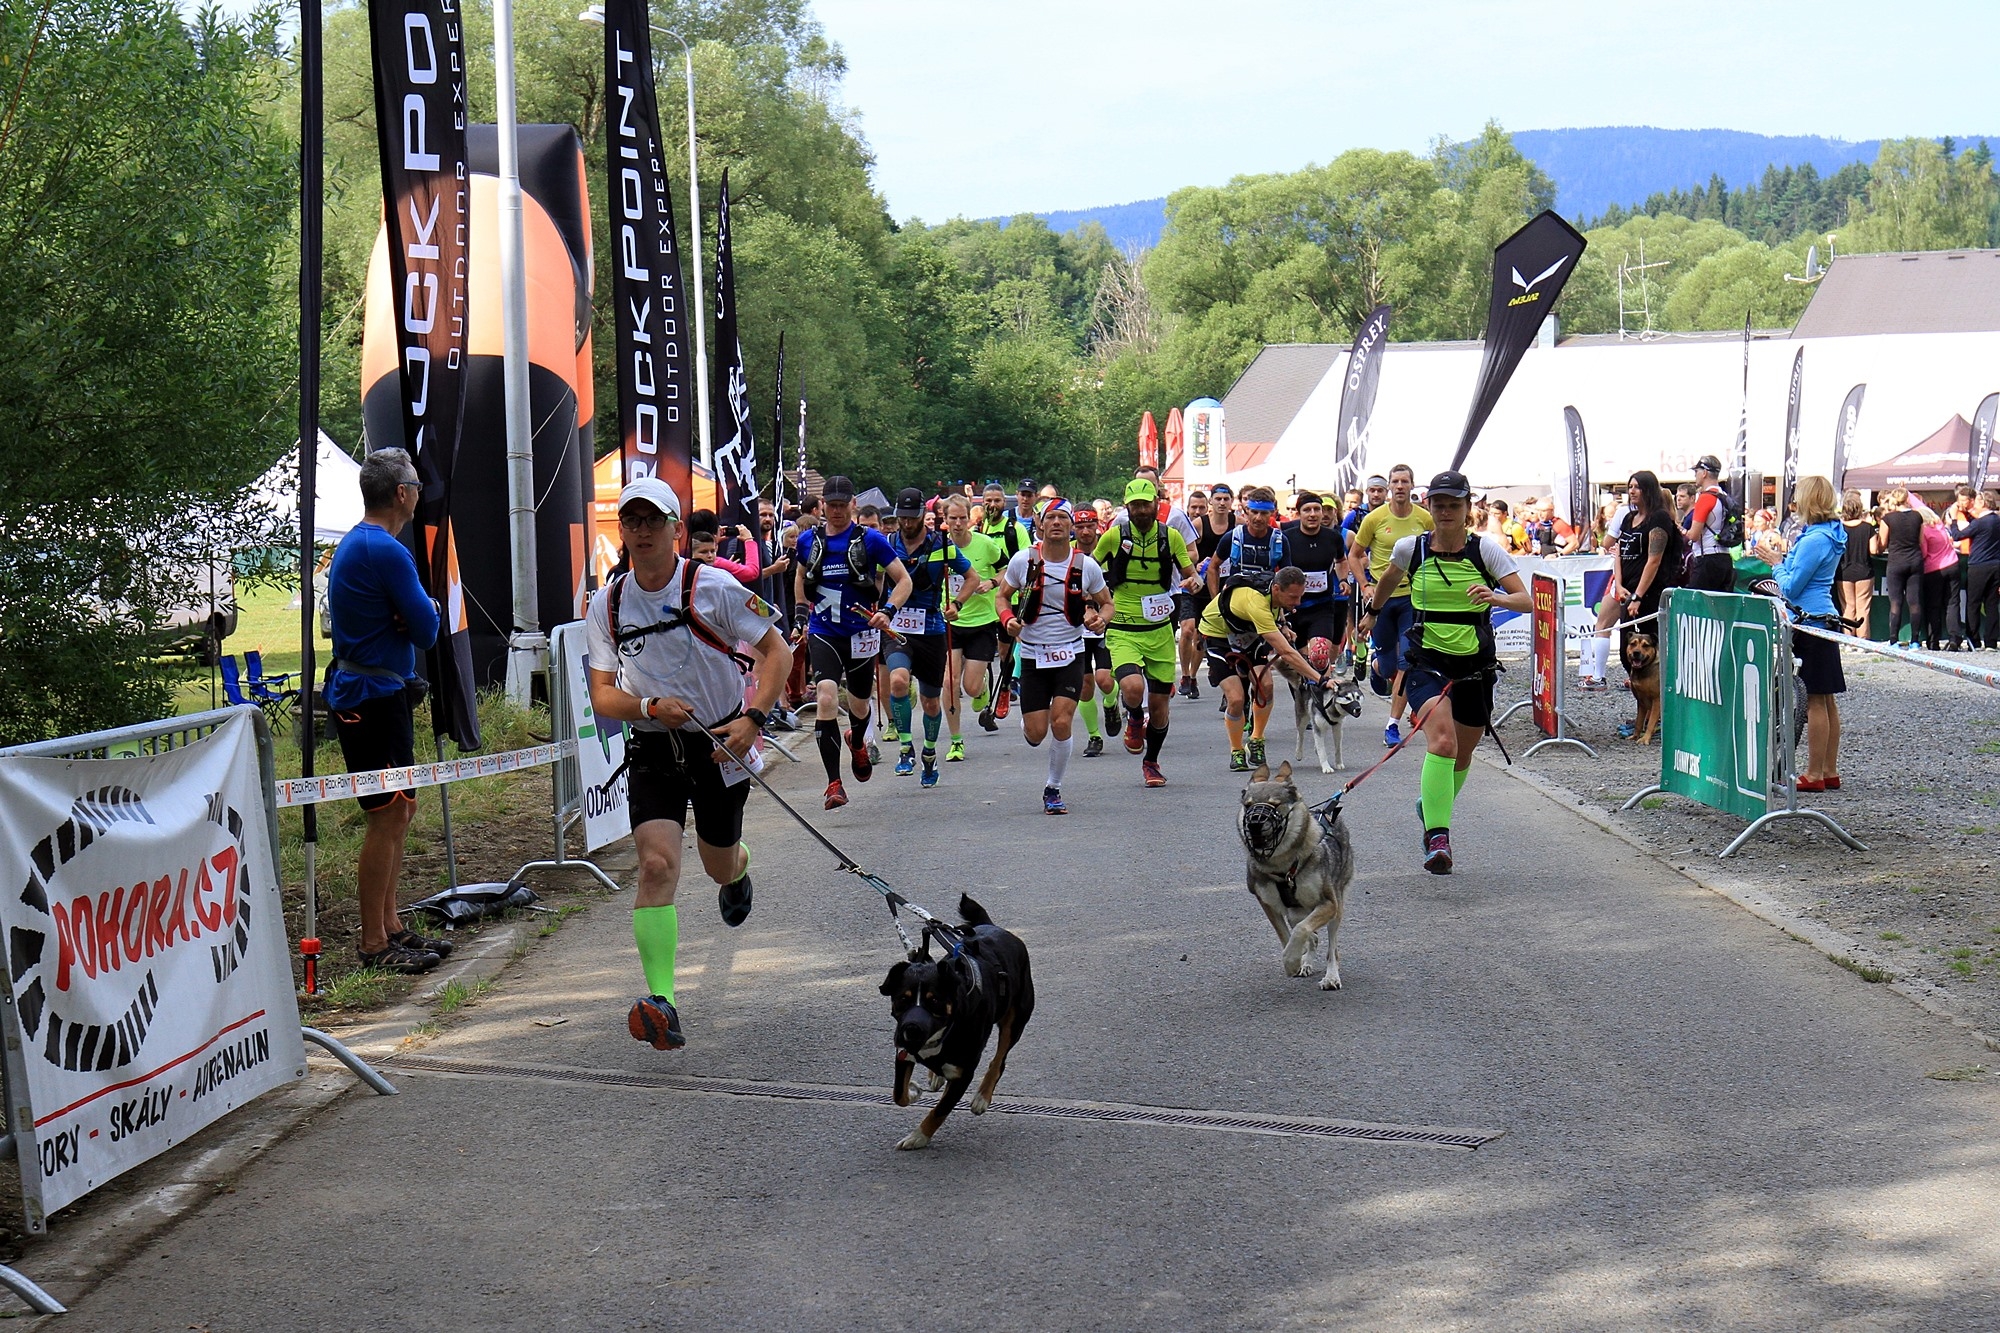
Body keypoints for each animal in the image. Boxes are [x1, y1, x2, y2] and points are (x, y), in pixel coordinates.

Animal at [880, 896, 1040, 1144]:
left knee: (999, 1060)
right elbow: (899, 1094)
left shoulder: (964, 1072)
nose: (911, 1029)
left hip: (1016, 1019)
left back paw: (982, 1096)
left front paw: (918, 1137)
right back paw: (935, 1076)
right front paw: (914, 1091)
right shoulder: (903, 1053)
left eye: (934, 1000)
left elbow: (940, 1110)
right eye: (902, 1000)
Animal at [1232, 756, 1360, 984]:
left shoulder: (1329, 903)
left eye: (1275, 805)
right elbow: (1286, 935)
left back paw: (1331, 977)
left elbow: (1301, 931)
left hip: (1336, 908)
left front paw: (1292, 960)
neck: (1283, 867)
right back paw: (1307, 963)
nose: (1254, 823)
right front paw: (1294, 961)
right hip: (1295, 912)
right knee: (1313, 936)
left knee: (1332, 948)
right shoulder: (1268, 904)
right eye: (1248, 806)